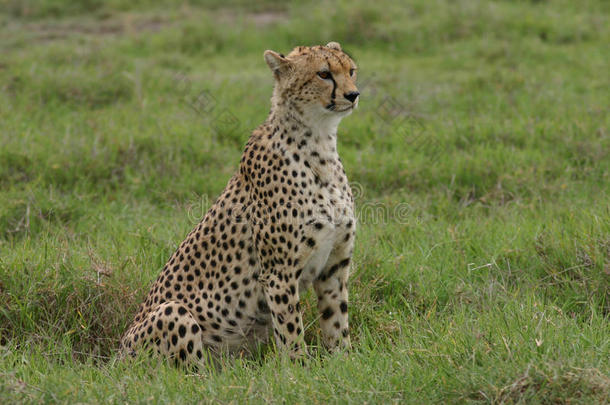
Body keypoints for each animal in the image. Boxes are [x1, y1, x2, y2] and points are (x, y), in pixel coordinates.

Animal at [120, 41, 358, 366]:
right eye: (323, 74)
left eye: (351, 70)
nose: (353, 94)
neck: (320, 142)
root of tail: (116, 357)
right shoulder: (279, 273)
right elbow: (291, 331)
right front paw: (300, 368)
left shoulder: (334, 264)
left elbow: (337, 321)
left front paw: (344, 362)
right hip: (174, 312)